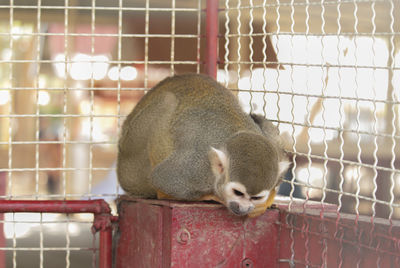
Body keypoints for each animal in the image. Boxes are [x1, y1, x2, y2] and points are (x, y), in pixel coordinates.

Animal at [117, 74, 290, 218]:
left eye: (256, 197)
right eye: (238, 193)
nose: (243, 208)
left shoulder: (275, 151)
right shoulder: (196, 171)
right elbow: (161, 177)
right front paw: (214, 197)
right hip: (132, 165)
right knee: (167, 101)